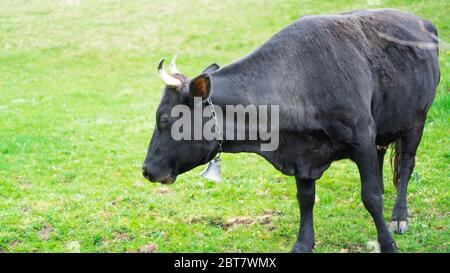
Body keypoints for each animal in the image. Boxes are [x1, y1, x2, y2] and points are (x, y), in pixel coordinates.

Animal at [143, 9, 440, 252]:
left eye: (165, 119)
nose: (147, 170)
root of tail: (422, 21)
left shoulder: (362, 137)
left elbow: (371, 197)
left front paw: (387, 244)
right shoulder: (304, 154)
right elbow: (306, 198)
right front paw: (303, 243)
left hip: (417, 119)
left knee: (405, 166)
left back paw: (399, 217)